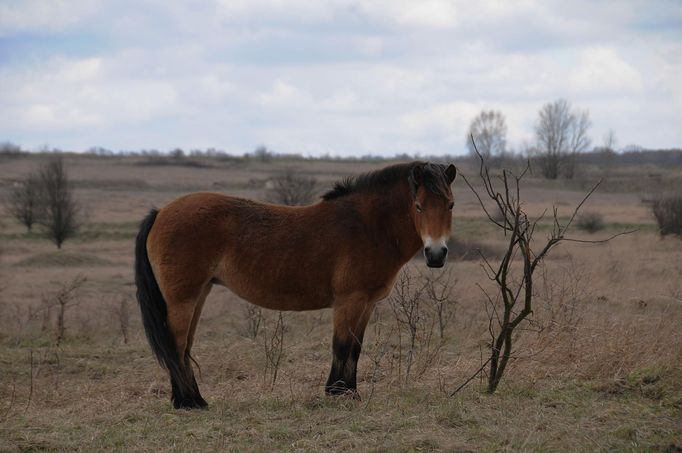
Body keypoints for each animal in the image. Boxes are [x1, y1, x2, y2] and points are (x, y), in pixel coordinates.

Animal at [135, 161, 454, 408]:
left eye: (450, 204)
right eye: (418, 206)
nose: (436, 254)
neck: (368, 227)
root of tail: (161, 212)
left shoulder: (366, 304)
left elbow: (355, 347)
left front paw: (350, 392)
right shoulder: (349, 301)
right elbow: (342, 346)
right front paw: (338, 393)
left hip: (199, 293)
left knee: (185, 346)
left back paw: (195, 400)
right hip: (182, 299)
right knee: (176, 345)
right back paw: (187, 402)